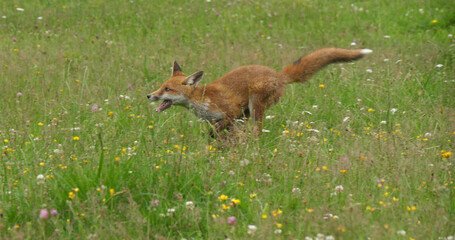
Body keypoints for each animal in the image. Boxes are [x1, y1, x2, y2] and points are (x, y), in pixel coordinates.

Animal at [148, 47, 372, 137]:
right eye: (161, 85)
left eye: (167, 89)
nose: (149, 95)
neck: (202, 99)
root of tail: (278, 75)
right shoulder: (224, 119)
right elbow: (218, 134)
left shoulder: (230, 112)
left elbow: (214, 133)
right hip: (248, 113)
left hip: (255, 107)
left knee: (257, 131)